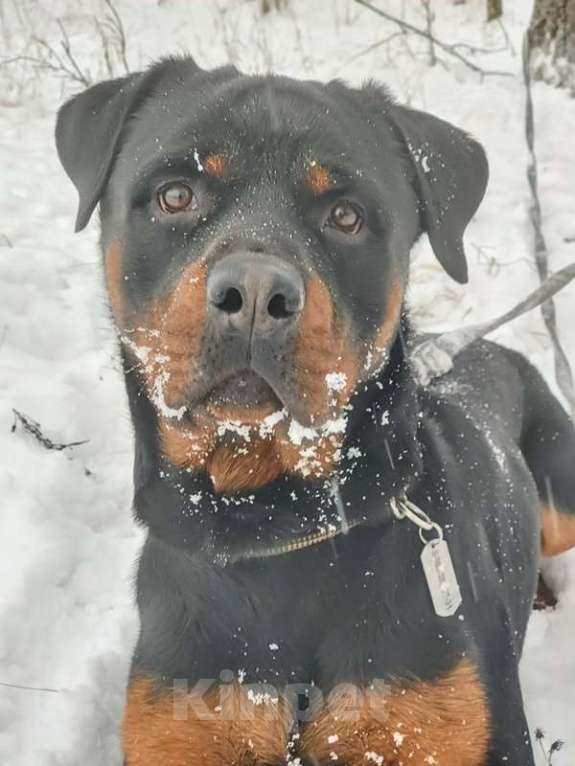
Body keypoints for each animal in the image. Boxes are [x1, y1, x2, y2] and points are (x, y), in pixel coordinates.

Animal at [55, 57, 575, 764]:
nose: (254, 293)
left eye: (347, 215)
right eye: (176, 195)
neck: (274, 528)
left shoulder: (434, 719)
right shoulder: (188, 718)